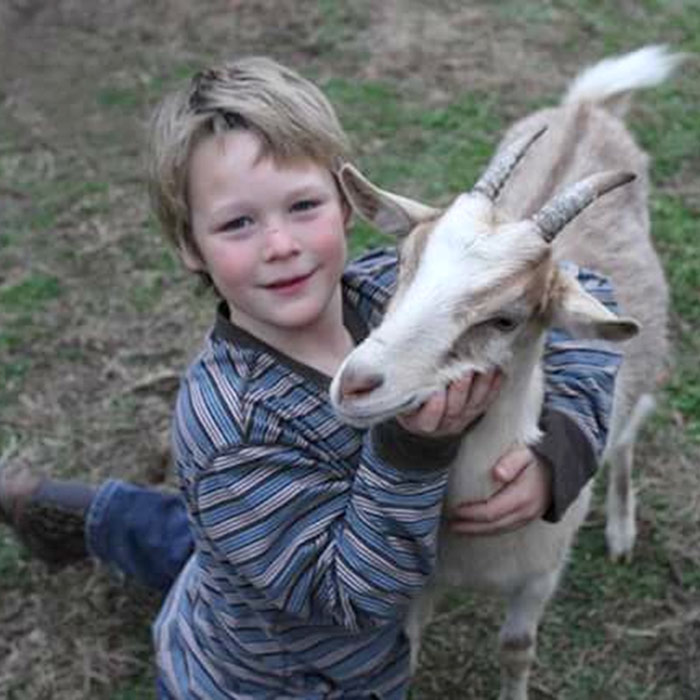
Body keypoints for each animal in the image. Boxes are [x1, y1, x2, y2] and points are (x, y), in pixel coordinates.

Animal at [330, 46, 680, 696]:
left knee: (625, 435)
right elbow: (407, 645)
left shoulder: (539, 578)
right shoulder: (418, 586)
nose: (356, 383)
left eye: (506, 318)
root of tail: (584, 110)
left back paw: (622, 530)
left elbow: (516, 649)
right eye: (402, 261)